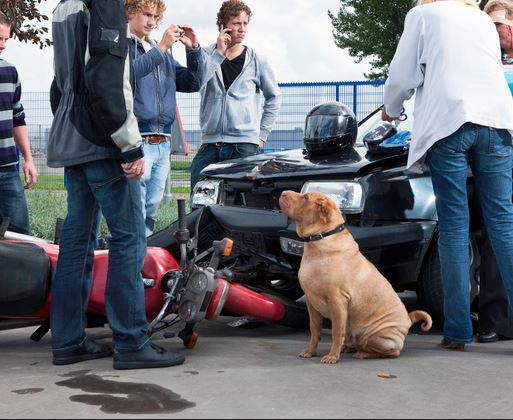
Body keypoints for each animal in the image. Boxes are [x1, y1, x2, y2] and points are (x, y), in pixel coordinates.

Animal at [278, 191, 430, 364]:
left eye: (305, 198)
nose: (283, 192)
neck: (321, 239)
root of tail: (408, 320)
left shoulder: (338, 302)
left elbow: (336, 333)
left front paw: (332, 356)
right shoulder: (312, 303)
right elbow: (314, 331)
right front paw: (311, 351)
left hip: (378, 337)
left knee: (391, 352)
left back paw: (363, 353)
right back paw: (349, 349)